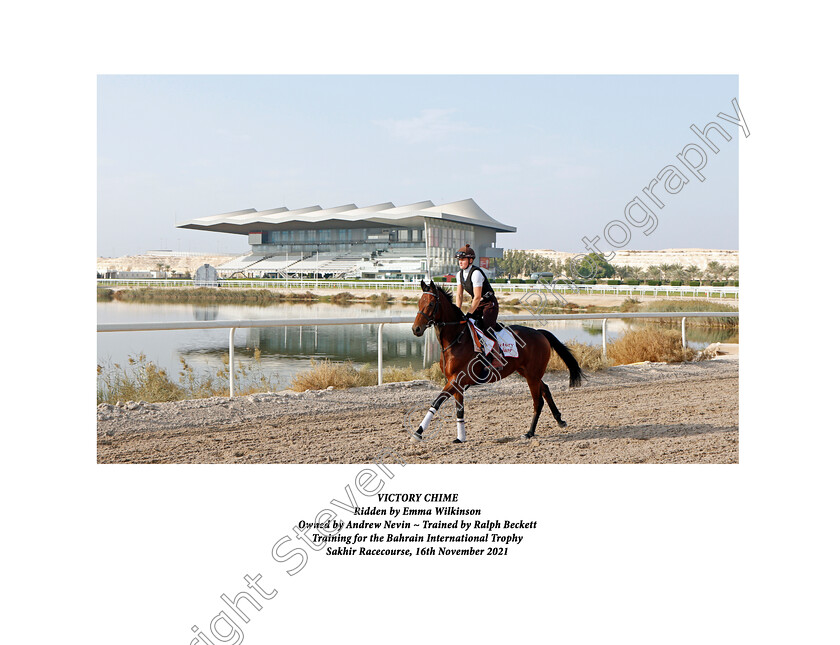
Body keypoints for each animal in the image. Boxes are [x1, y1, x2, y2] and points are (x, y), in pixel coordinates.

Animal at [410, 280, 580, 442]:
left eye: (431, 304)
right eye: (419, 303)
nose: (416, 329)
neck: (456, 339)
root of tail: (539, 333)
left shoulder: (457, 379)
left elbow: (437, 402)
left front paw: (418, 433)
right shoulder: (456, 382)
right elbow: (459, 410)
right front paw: (460, 438)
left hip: (532, 375)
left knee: (538, 402)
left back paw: (530, 432)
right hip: (528, 372)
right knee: (545, 389)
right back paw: (559, 420)